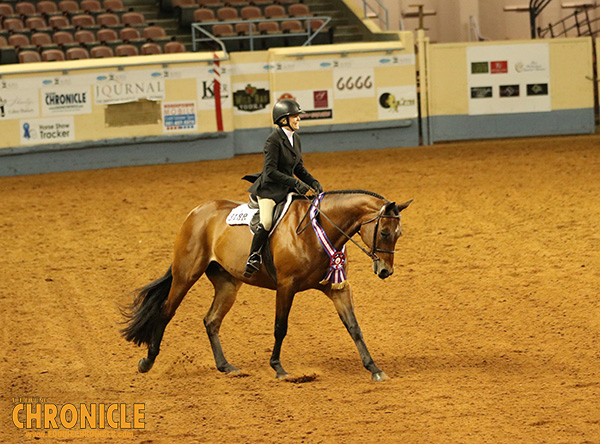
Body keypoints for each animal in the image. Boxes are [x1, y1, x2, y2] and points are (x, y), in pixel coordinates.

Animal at [122, 191, 412, 382]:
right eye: (384, 232)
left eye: (399, 234)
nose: (385, 271)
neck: (317, 230)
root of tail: (196, 212)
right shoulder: (286, 287)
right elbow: (280, 327)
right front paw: (279, 369)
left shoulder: (337, 288)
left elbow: (354, 327)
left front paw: (374, 368)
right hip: (186, 274)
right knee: (166, 311)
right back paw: (147, 361)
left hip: (228, 283)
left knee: (211, 320)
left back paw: (226, 367)